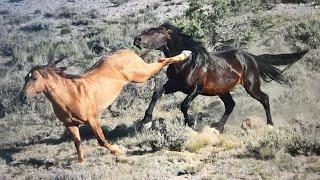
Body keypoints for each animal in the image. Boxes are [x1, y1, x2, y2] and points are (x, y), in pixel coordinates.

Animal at [20, 48, 191, 162]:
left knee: (161, 62)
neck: (70, 95)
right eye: (25, 78)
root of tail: (125, 51)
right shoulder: (70, 124)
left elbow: (101, 141)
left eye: (34, 78)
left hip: (141, 74)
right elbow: (77, 143)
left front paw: (120, 150)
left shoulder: (92, 119)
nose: (23, 97)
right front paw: (81, 162)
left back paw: (186, 54)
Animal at [134, 22, 308, 132]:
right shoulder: (175, 85)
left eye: (156, 31)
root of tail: (250, 56)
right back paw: (218, 127)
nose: (137, 39)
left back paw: (270, 124)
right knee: (230, 105)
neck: (186, 61)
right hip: (222, 90)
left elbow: (183, 105)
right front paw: (146, 121)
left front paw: (191, 122)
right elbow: (157, 93)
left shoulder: (196, 89)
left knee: (264, 98)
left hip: (251, 86)